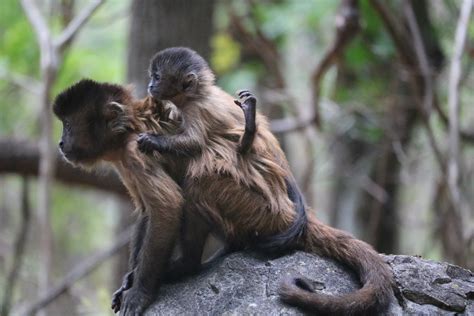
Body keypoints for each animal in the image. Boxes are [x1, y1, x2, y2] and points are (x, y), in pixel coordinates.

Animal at [138, 47, 396, 316]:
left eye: (157, 76)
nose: (150, 85)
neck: (198, 94)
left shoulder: (196, 109)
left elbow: (194, 143)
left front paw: (152, 141)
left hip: (261, 211)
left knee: (199, 181)